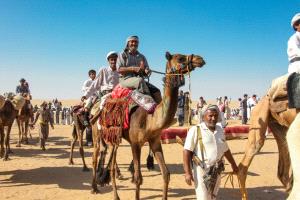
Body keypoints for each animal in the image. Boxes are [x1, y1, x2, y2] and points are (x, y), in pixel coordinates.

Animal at [90, 52, 205, 200]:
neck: (151, 119)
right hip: (97, 132)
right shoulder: (135, 143)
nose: (200, 59)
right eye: (180, 58)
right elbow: (138, 178)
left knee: (111, 162)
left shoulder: (155, 141)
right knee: (96, 156)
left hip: (113, 136)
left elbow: (166, 173)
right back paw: (95, 188)